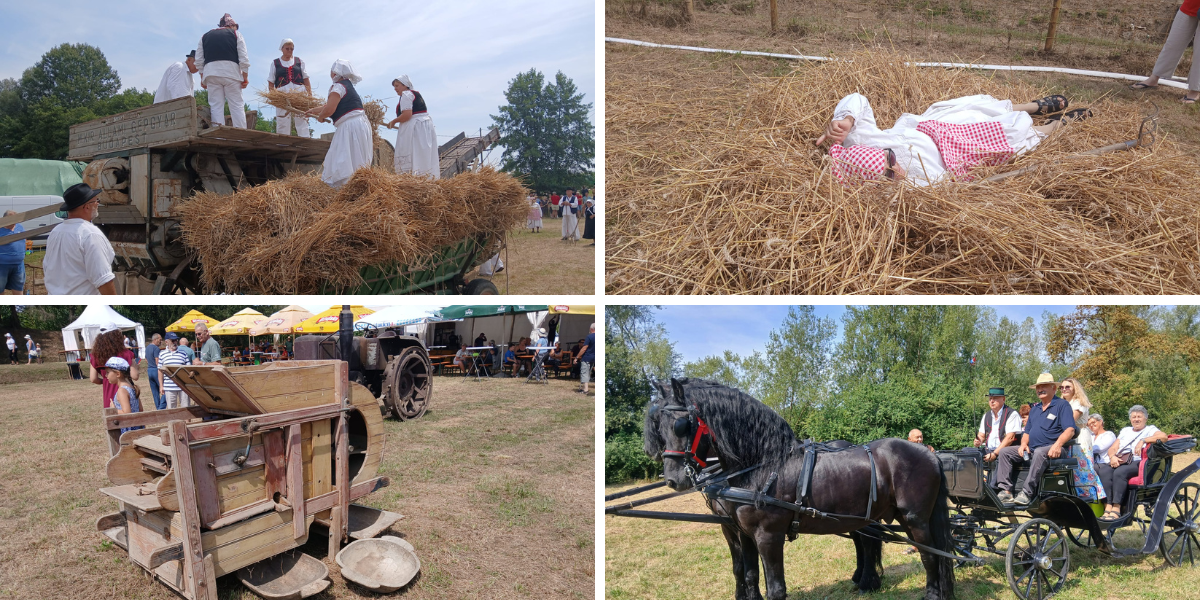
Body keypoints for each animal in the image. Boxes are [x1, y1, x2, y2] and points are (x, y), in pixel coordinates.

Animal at [648, 379, 955, 600]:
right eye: (659, 426)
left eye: (681, 424)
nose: (673, 479)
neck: (763, 465)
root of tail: (930, 455)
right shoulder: (742, 533)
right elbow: (747, 574)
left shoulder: (768, 537)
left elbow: (776, 589)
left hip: (914, 518)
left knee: (930, 555)